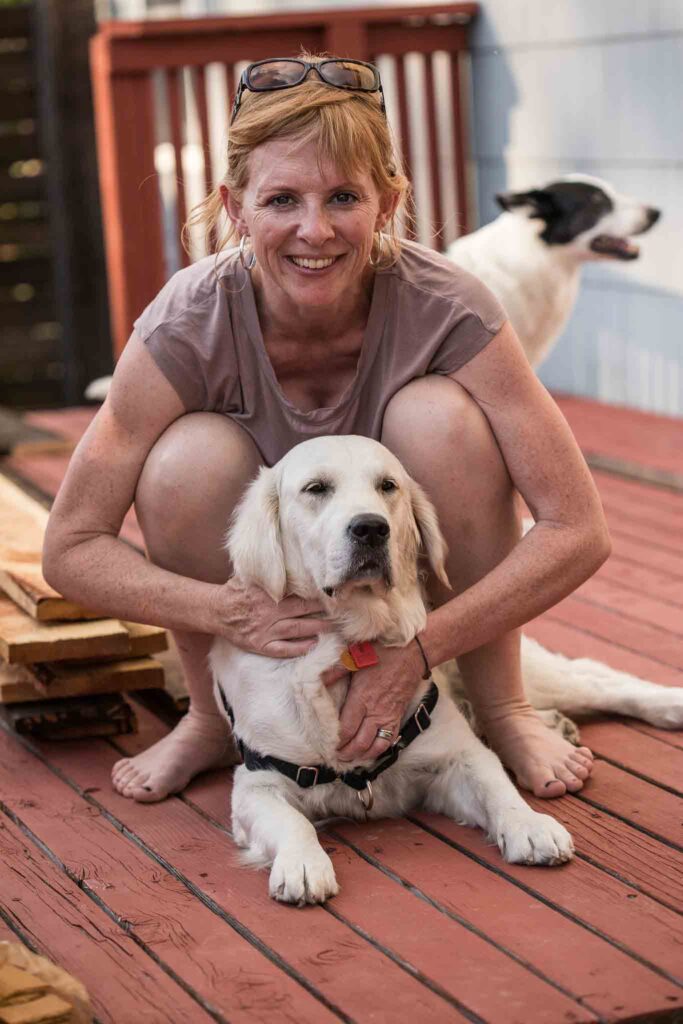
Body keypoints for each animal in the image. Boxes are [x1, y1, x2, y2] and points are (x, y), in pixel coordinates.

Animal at [210, 432, 679, 905]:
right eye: (316, 489)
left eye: (388, 486)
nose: (370, 527)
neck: (353, 643)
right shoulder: (256, 783)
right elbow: (293, 821)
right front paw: (303, 863)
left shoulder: (457, 755)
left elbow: (498, 788)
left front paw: (530, 826)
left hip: (541, 676)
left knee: (600, 680)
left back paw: (668, 705)